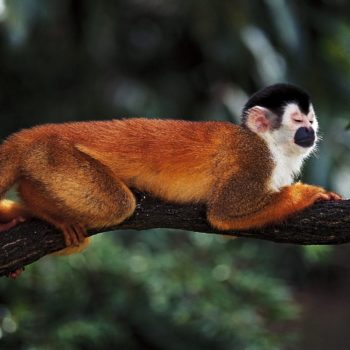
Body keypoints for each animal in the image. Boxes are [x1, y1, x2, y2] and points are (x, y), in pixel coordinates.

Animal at [0, 84, 340, 276]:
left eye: (311, 121)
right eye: (298, 121)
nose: (310, 132)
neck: (270, 144)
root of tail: (36, 133)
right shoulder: (252, 157)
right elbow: (224, 213)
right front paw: (308, 194)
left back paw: (25, 213)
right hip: (56, 156)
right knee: (118, 205)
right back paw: (40, 206)